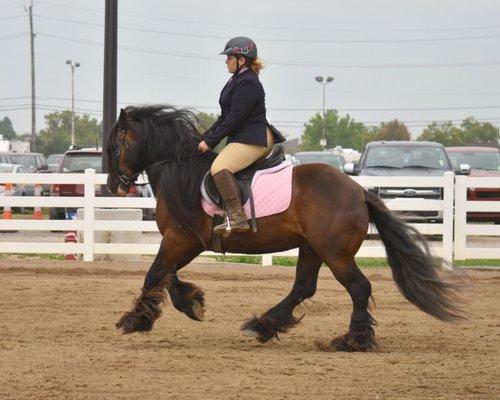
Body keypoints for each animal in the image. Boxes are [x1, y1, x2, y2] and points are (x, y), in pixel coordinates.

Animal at [106, 104, 464, 352]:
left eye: (115, 146)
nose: (114, 187)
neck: (179, 172)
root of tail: (357, 190)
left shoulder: (182, 238)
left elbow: (155, 273)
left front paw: (136, 319)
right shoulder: (183, 240)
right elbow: (166, 275)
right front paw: (192, 302)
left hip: (335, 253)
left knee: (358, 288)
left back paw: (352, 340)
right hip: (311, 248)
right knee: (304, 287)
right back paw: (262, 325)